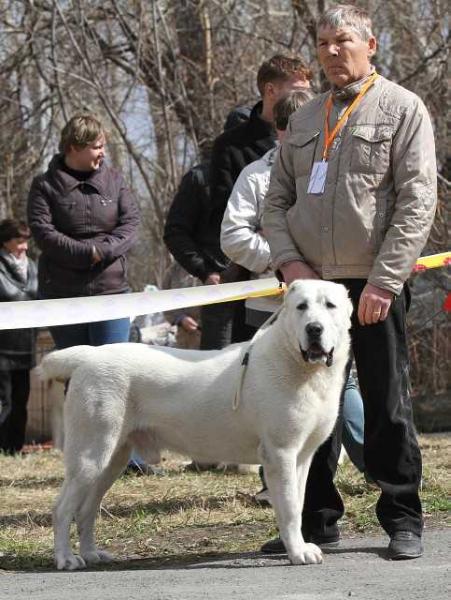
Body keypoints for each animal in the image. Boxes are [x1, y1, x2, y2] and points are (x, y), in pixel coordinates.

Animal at [40, 278, 354, 568]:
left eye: (330, 306)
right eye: (301, 307)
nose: (314, 329)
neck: (299, 364)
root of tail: (89, 355)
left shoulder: (302, 456)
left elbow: (298, 504)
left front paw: (298, 546)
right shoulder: (281, 453)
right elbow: (288, 507)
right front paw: (298, 553)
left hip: (112, 459)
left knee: (86, 509)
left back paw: (91, 554)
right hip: (90, 455)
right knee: (62, 508)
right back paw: (66, 559)